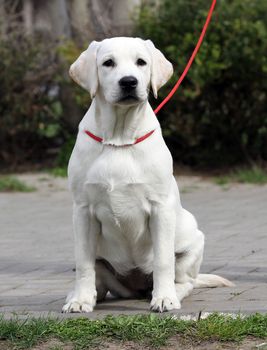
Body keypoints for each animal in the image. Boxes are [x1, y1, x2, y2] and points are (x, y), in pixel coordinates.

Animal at [62, 37, 232, 314]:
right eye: (108, 63)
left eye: (141, 62)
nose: (129, 82)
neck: (119, 138)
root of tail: (136, 287)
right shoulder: (82, 210)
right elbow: (85, 264)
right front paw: (80, 300)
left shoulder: (160, 208)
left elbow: (163, 261)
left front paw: (164, 299)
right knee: (99, 279)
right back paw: (80, 295)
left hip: (193, 240)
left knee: (185, 280)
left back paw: (171, 292)